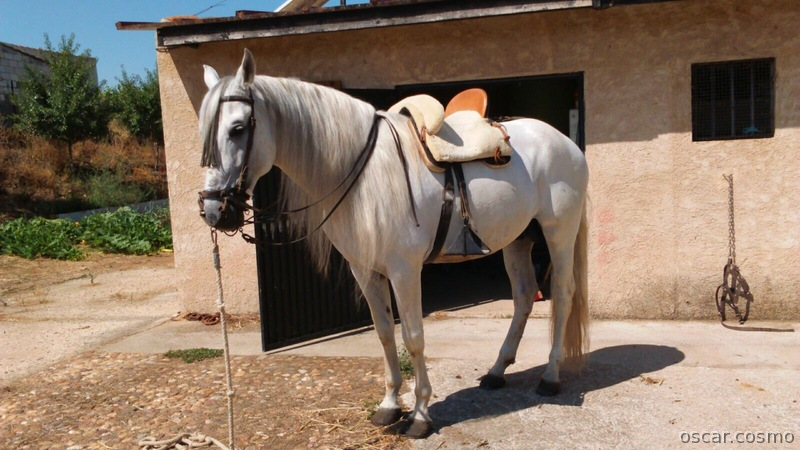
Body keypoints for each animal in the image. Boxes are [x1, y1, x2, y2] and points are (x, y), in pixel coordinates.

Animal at [198, 49, 589, 439]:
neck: (361, 172)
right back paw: (496, 371)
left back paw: (550, 377)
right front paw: (388, 406)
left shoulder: (405, 271)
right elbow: (385, 333)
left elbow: (413, 337)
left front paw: (420, 415)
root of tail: (564, 142)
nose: (214, 211)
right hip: (517, 239)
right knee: (523, 296)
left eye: (237, 128)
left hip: (559, 233)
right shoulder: (364, 269)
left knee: (563, 294)